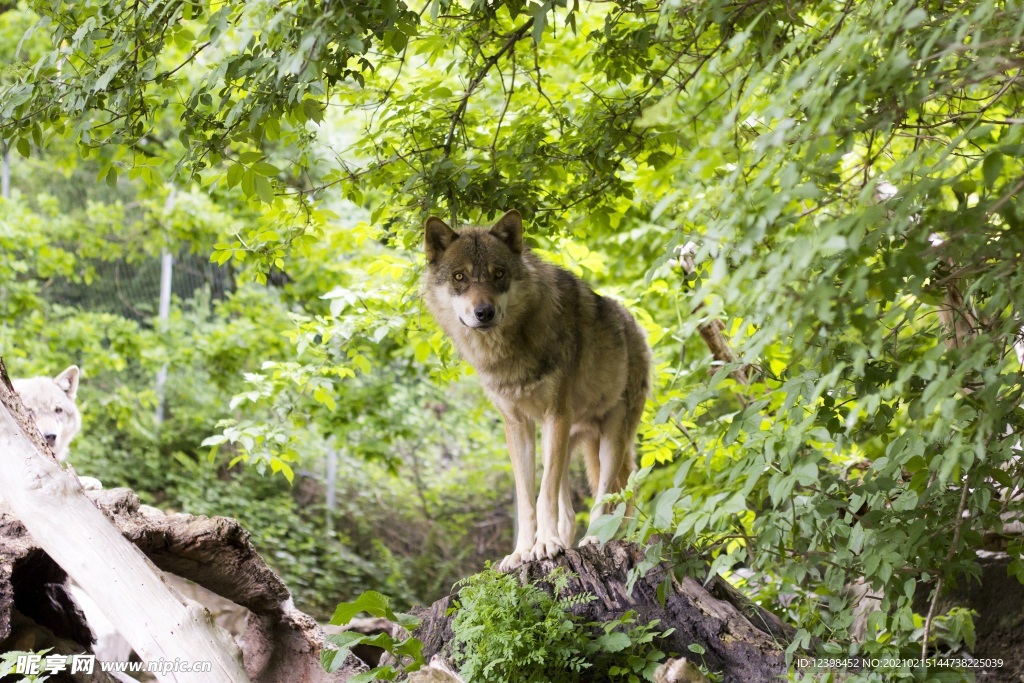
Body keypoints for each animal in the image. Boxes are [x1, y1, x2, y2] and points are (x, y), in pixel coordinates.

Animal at [421, 209, 647, 573]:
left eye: (498, 274)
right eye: (459, 277)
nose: (484, 312)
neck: (510, 350)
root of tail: (634, 324)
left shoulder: (555, 416)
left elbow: (544, 494)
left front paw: (545, 545)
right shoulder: (518, 426)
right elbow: (528, 498)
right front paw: (523, 552)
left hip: (610, 439)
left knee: (608, 495)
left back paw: (594, 539)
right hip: (570, 441)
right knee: (570, 511)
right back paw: (565, 542)